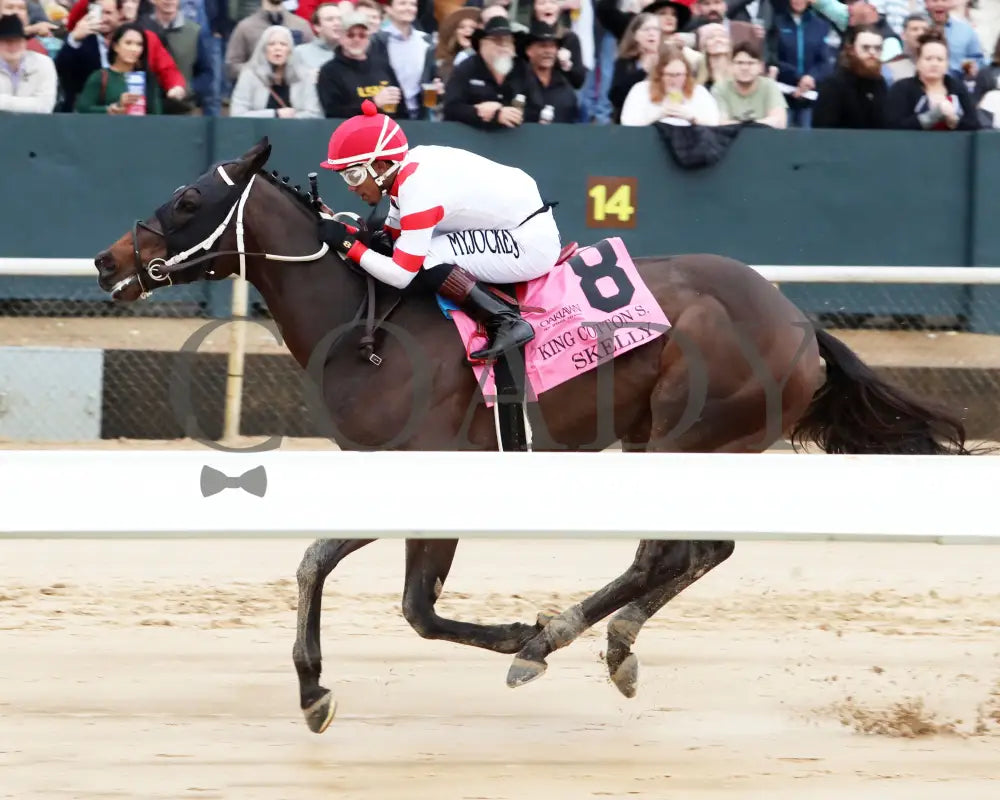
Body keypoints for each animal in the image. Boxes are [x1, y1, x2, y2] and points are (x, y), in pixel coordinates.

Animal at [92, 136, 968, 732]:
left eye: (187, 200)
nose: (106, 262)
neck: (371, 327)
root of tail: (799, 322)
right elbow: (405, 603)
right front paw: (322, 685)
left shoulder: (425, 470)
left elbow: (350, 577)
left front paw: (323, 686)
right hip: (692, 445)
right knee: (702, 549)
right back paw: (608, 641)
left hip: (686, 433)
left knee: (666, 553)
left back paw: (557, 639)